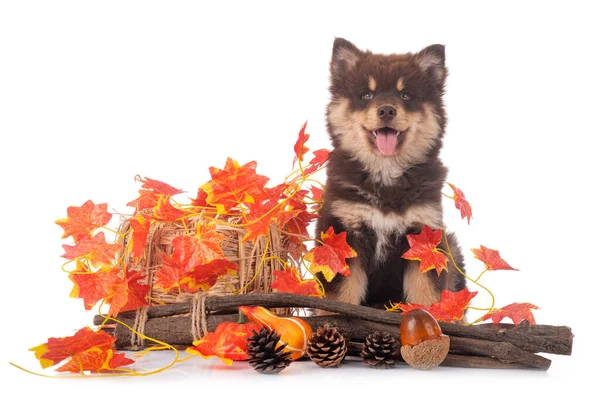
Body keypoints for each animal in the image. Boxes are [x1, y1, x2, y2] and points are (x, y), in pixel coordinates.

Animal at [316, 38, 466, 310]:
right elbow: (340, 296)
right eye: (367, 95)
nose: (386, 110)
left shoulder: (424, 233)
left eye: (405, 95)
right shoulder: (343, 232)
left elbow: (427, 294)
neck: (385, 174)